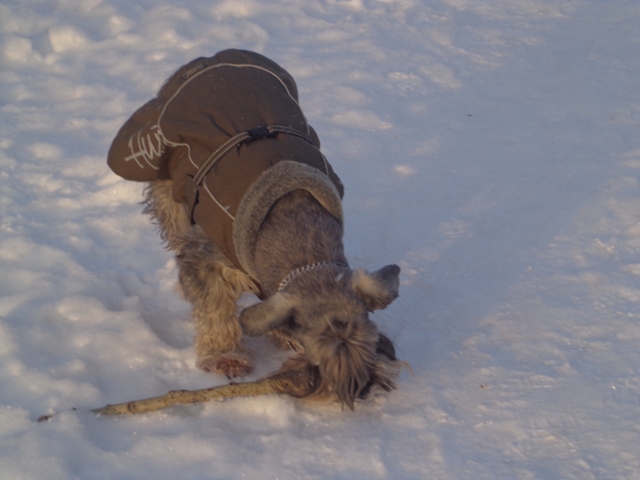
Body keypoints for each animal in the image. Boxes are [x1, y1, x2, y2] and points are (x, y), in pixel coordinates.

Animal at [107, 49, 401, 408]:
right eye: (318, 357)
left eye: (368, 345)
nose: (359, 390)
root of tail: (210, 59)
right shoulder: (207, 261)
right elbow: (214, 307)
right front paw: (226, 356)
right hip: (168, 182)